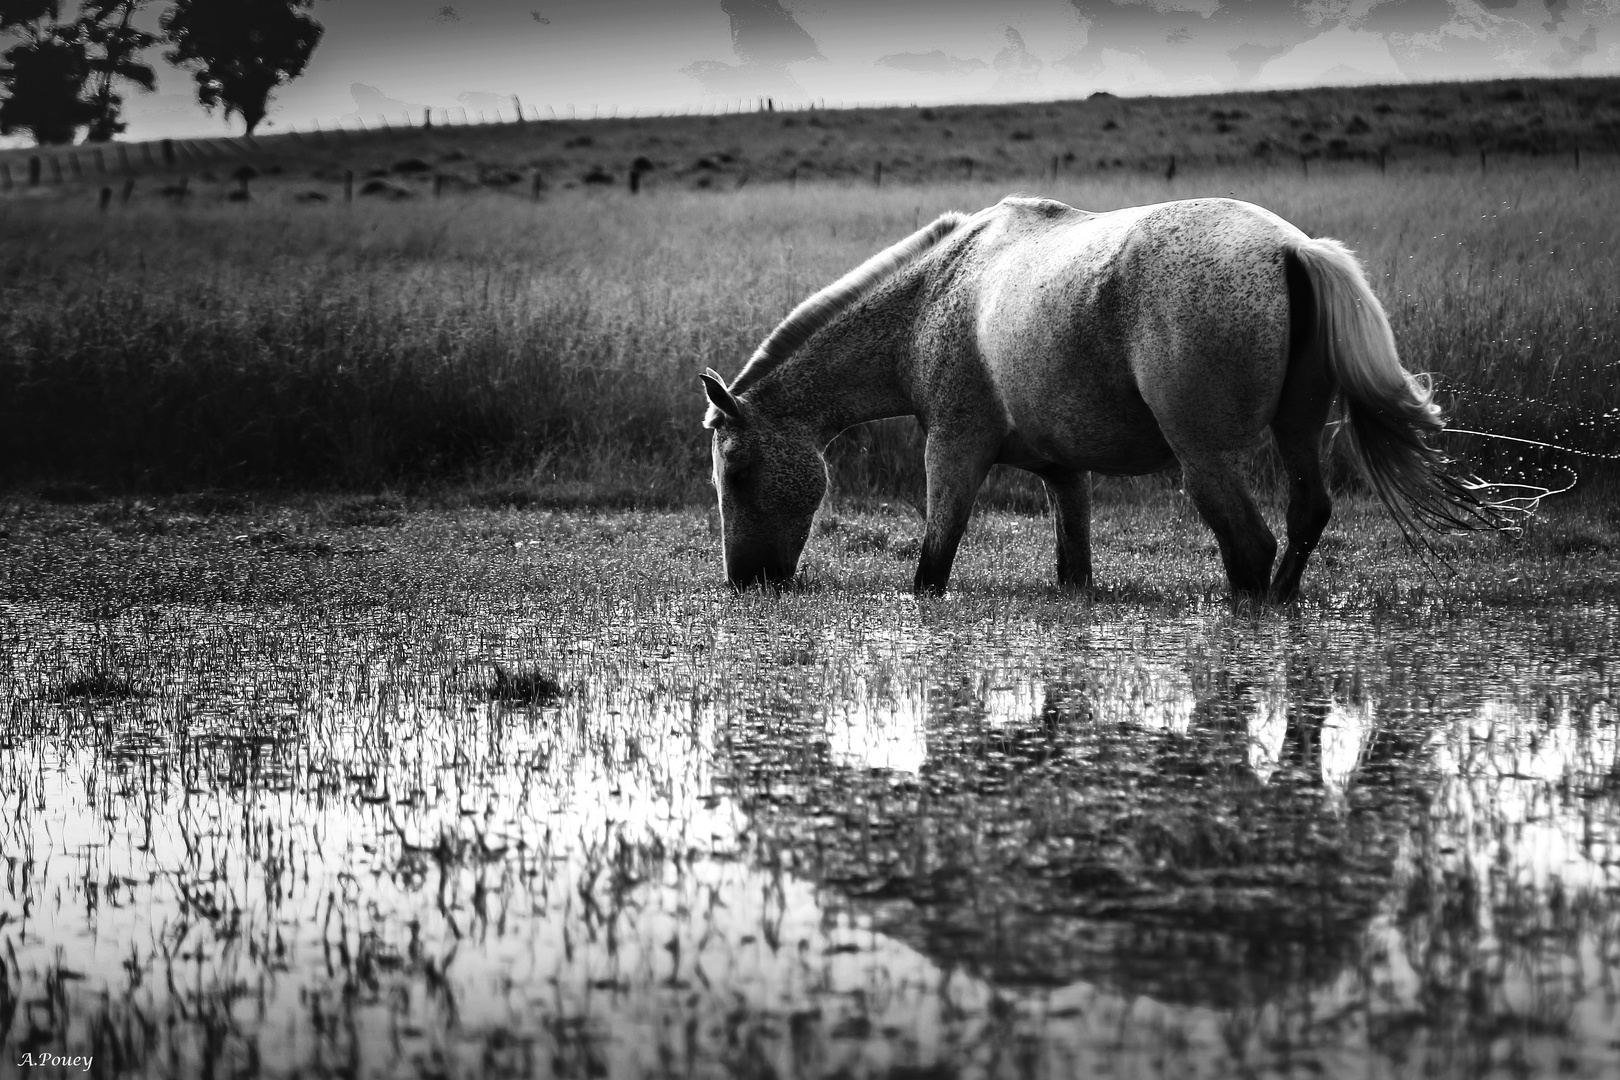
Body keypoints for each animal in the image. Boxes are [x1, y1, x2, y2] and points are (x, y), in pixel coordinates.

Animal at [696, 194, 1503, 599]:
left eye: (735, 469)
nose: (746, 580)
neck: (938, 290)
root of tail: (1291, 247)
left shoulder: (953, 450)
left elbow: (931, 568)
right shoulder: (1065, 476)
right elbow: (1073, 570)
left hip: (1203, 456)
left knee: (1250, 547)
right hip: (1297, 432)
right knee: (1305, 519)